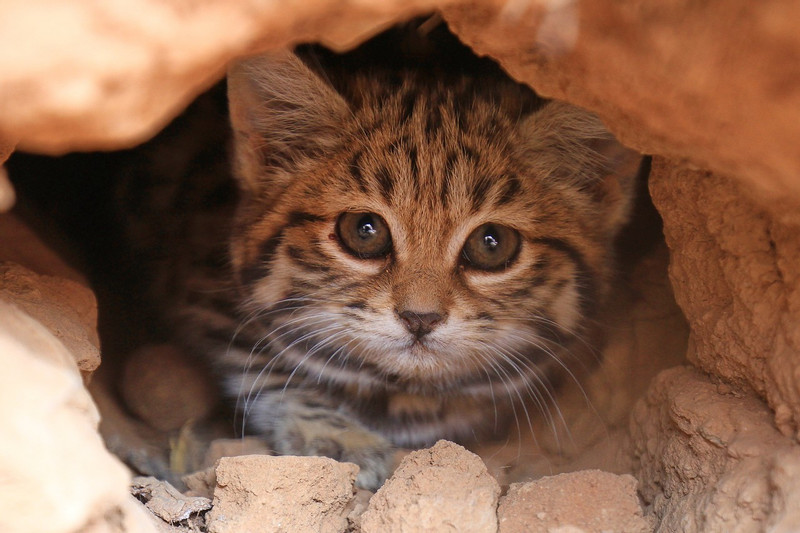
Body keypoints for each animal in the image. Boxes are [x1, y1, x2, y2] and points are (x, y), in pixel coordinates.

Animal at [120, 20, 636, 488]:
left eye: (492, 244)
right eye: (364, 232)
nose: (420, 318)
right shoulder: (199, 279)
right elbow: (265, 363)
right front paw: (338, 434)